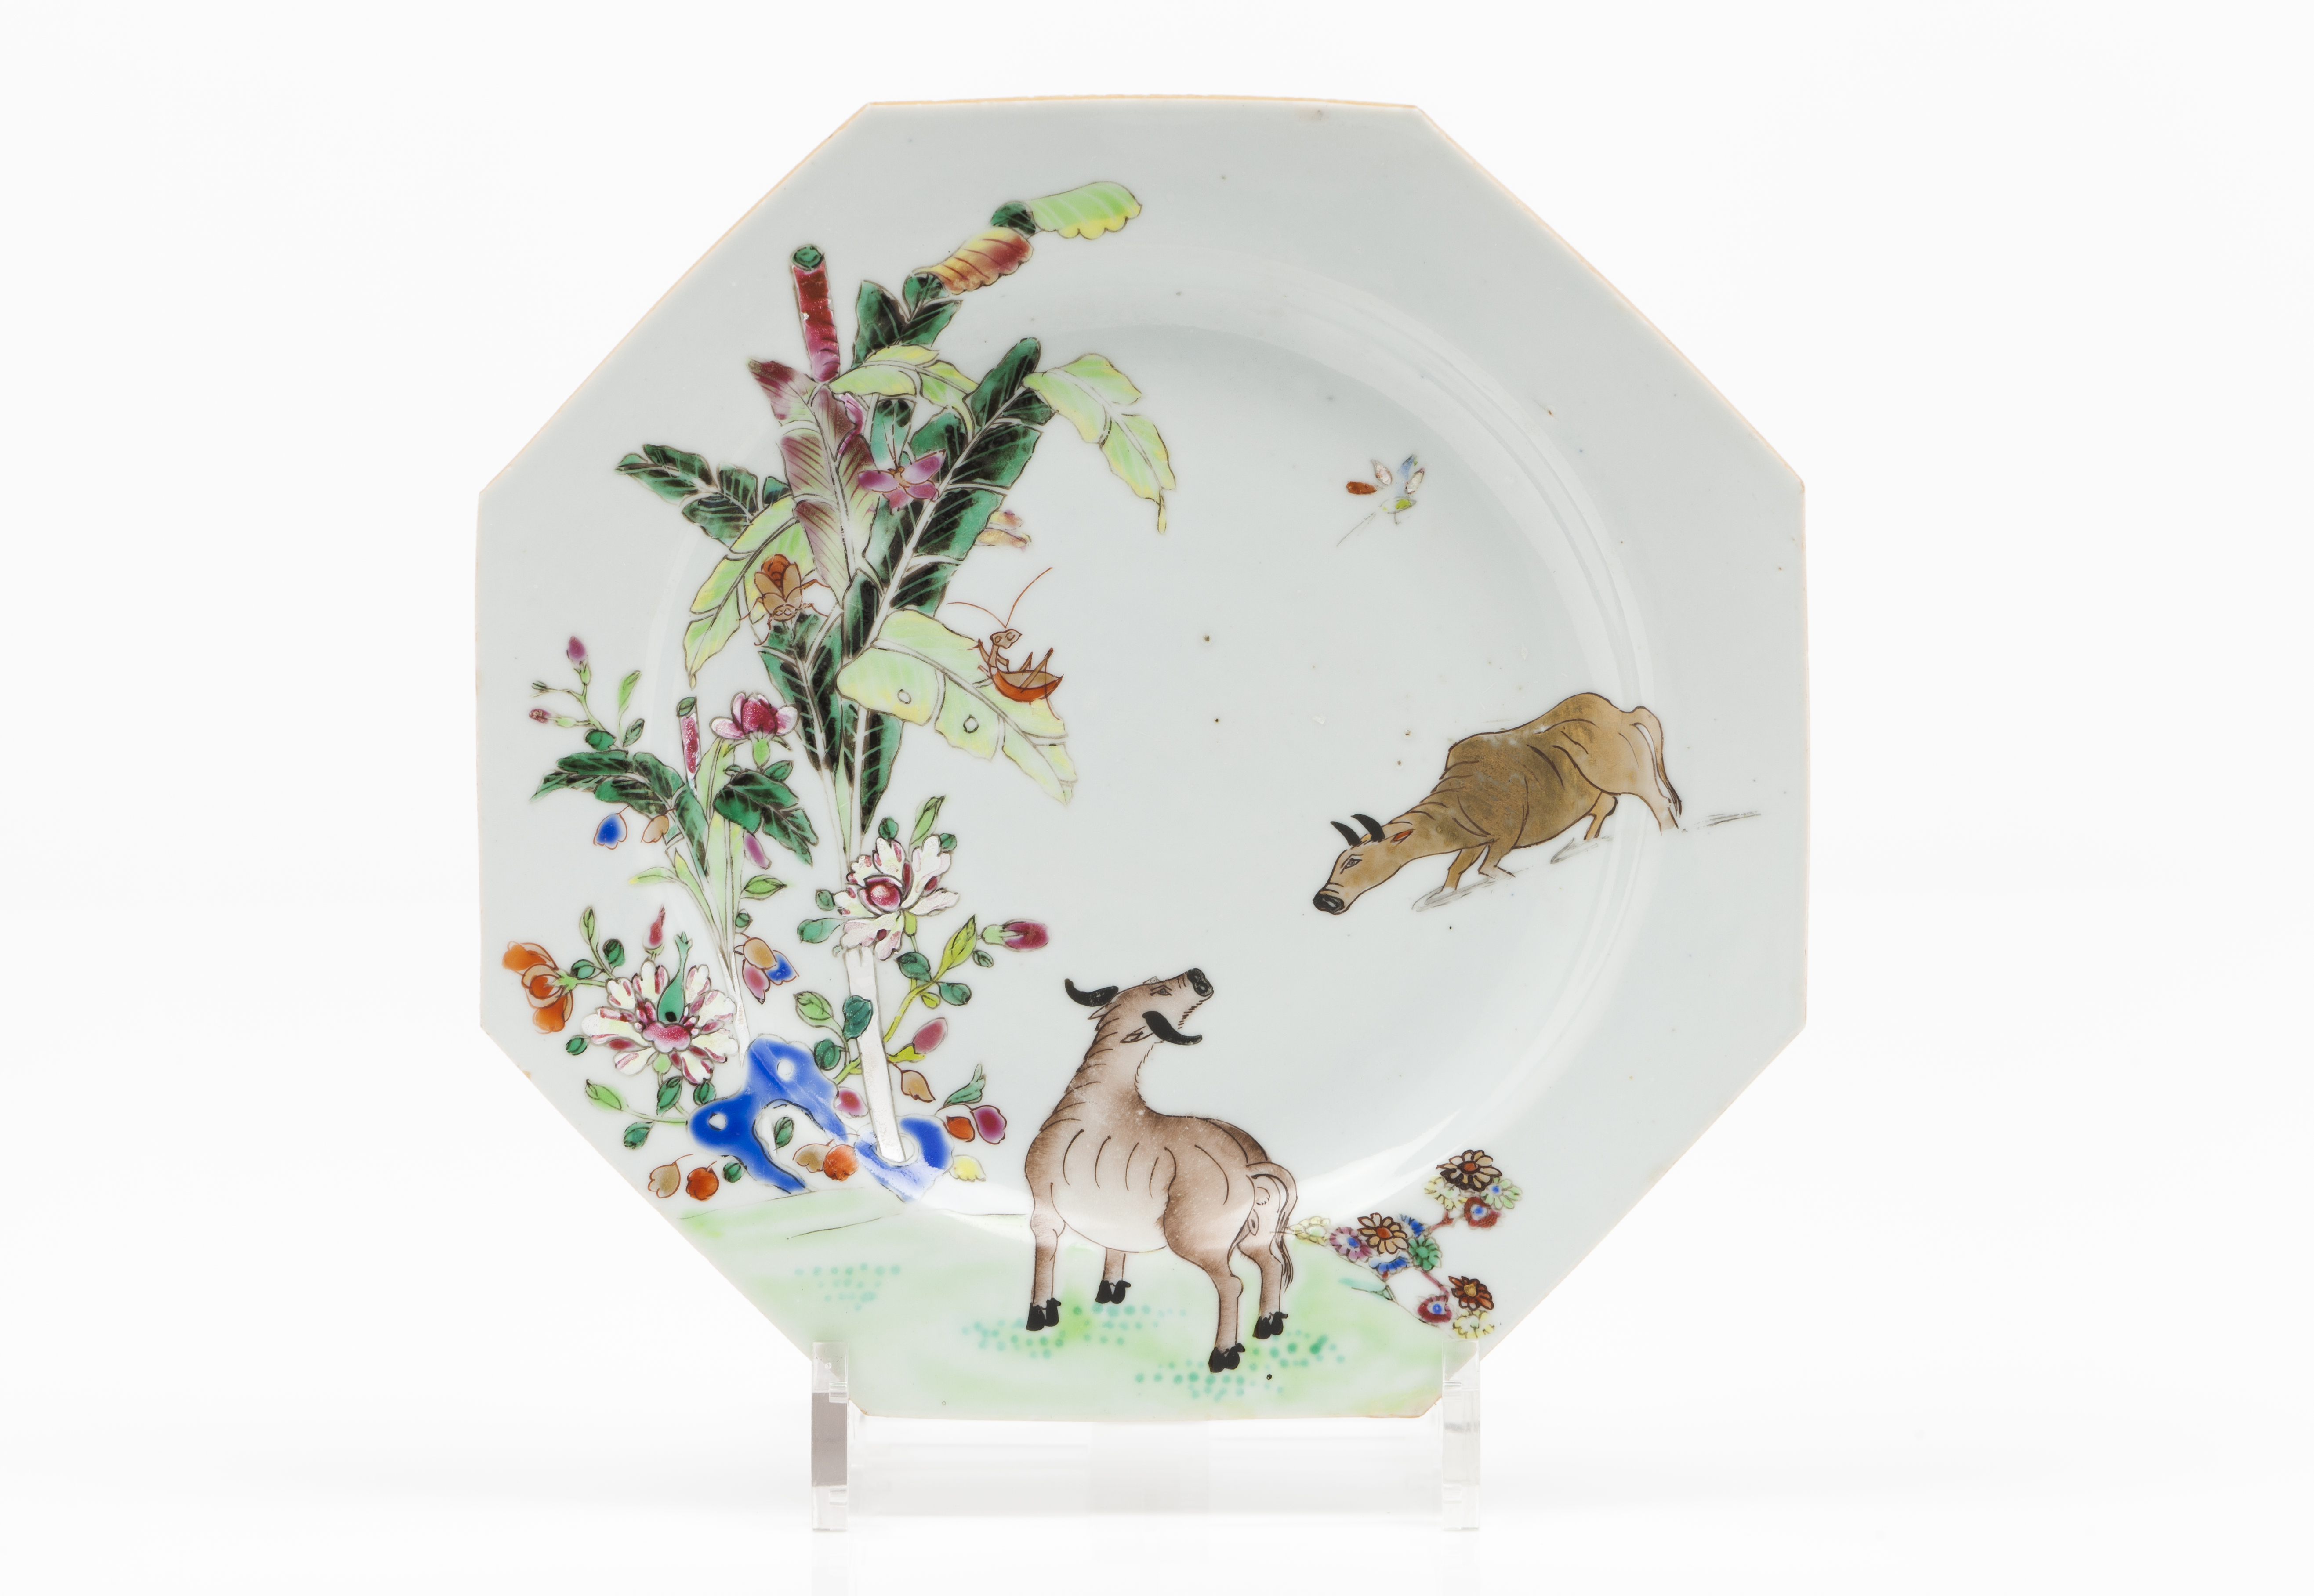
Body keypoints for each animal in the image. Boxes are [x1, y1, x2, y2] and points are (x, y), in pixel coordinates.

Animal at [1022, 969, 1298, 1373]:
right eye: (1160, 987)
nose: (1199, 976)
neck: (1102, 1101)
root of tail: (1248, 1165)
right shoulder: (1113, 1211)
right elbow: (1115, 1250)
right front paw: (1111, 1290)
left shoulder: (1043, 1203)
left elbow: (1045, 1252)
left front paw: (1040, 1312)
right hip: (1254, 1232)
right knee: (1272, 1264)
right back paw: (1269, 1324)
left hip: (1197, 1239)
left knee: (1231, 1284)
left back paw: (1224, 1354)